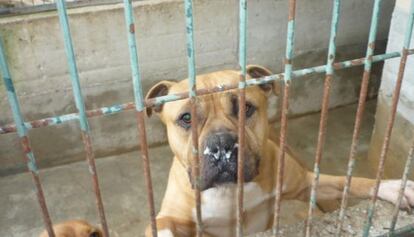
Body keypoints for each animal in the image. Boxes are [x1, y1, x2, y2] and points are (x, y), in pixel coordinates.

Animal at [145, 65, 414, 237]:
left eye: (246, 108)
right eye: (186, 118)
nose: (221, 144)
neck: (229, 191)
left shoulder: (305, 182)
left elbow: (350, 181)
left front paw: (393, 188)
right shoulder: (173, 218)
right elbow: (161, 224)